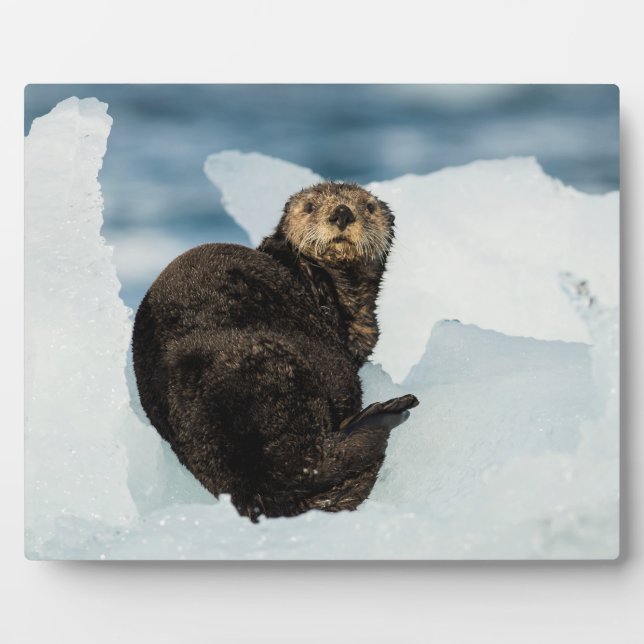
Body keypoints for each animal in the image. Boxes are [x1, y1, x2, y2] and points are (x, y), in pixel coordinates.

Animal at [132, 181, 419, 521]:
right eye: (310, 207)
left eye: (368, 207)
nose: (342, 213)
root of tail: (255, 486)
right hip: (290, 374)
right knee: (316, 461)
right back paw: (388, 411)